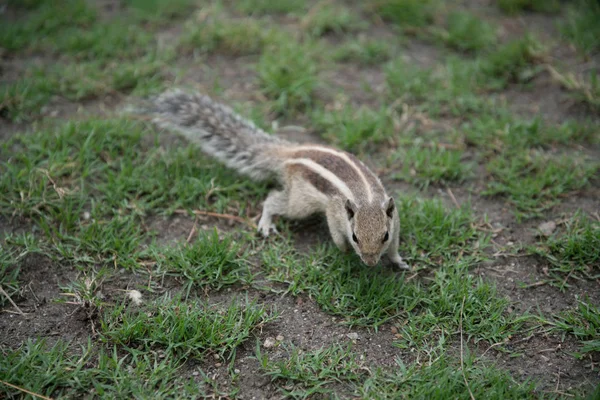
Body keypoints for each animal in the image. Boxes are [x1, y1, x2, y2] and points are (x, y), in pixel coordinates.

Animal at [134, 89, 410, 270]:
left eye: (384, 236)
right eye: (355, 237)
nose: (370, 262)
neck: (367, 197)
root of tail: (289, 154)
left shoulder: (395, 219)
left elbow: (396, 244)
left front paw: (398, 261)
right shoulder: (334, 211)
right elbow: (335, 232)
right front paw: (343, 251)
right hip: (300, 202)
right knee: (273, 200)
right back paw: (266, 222)